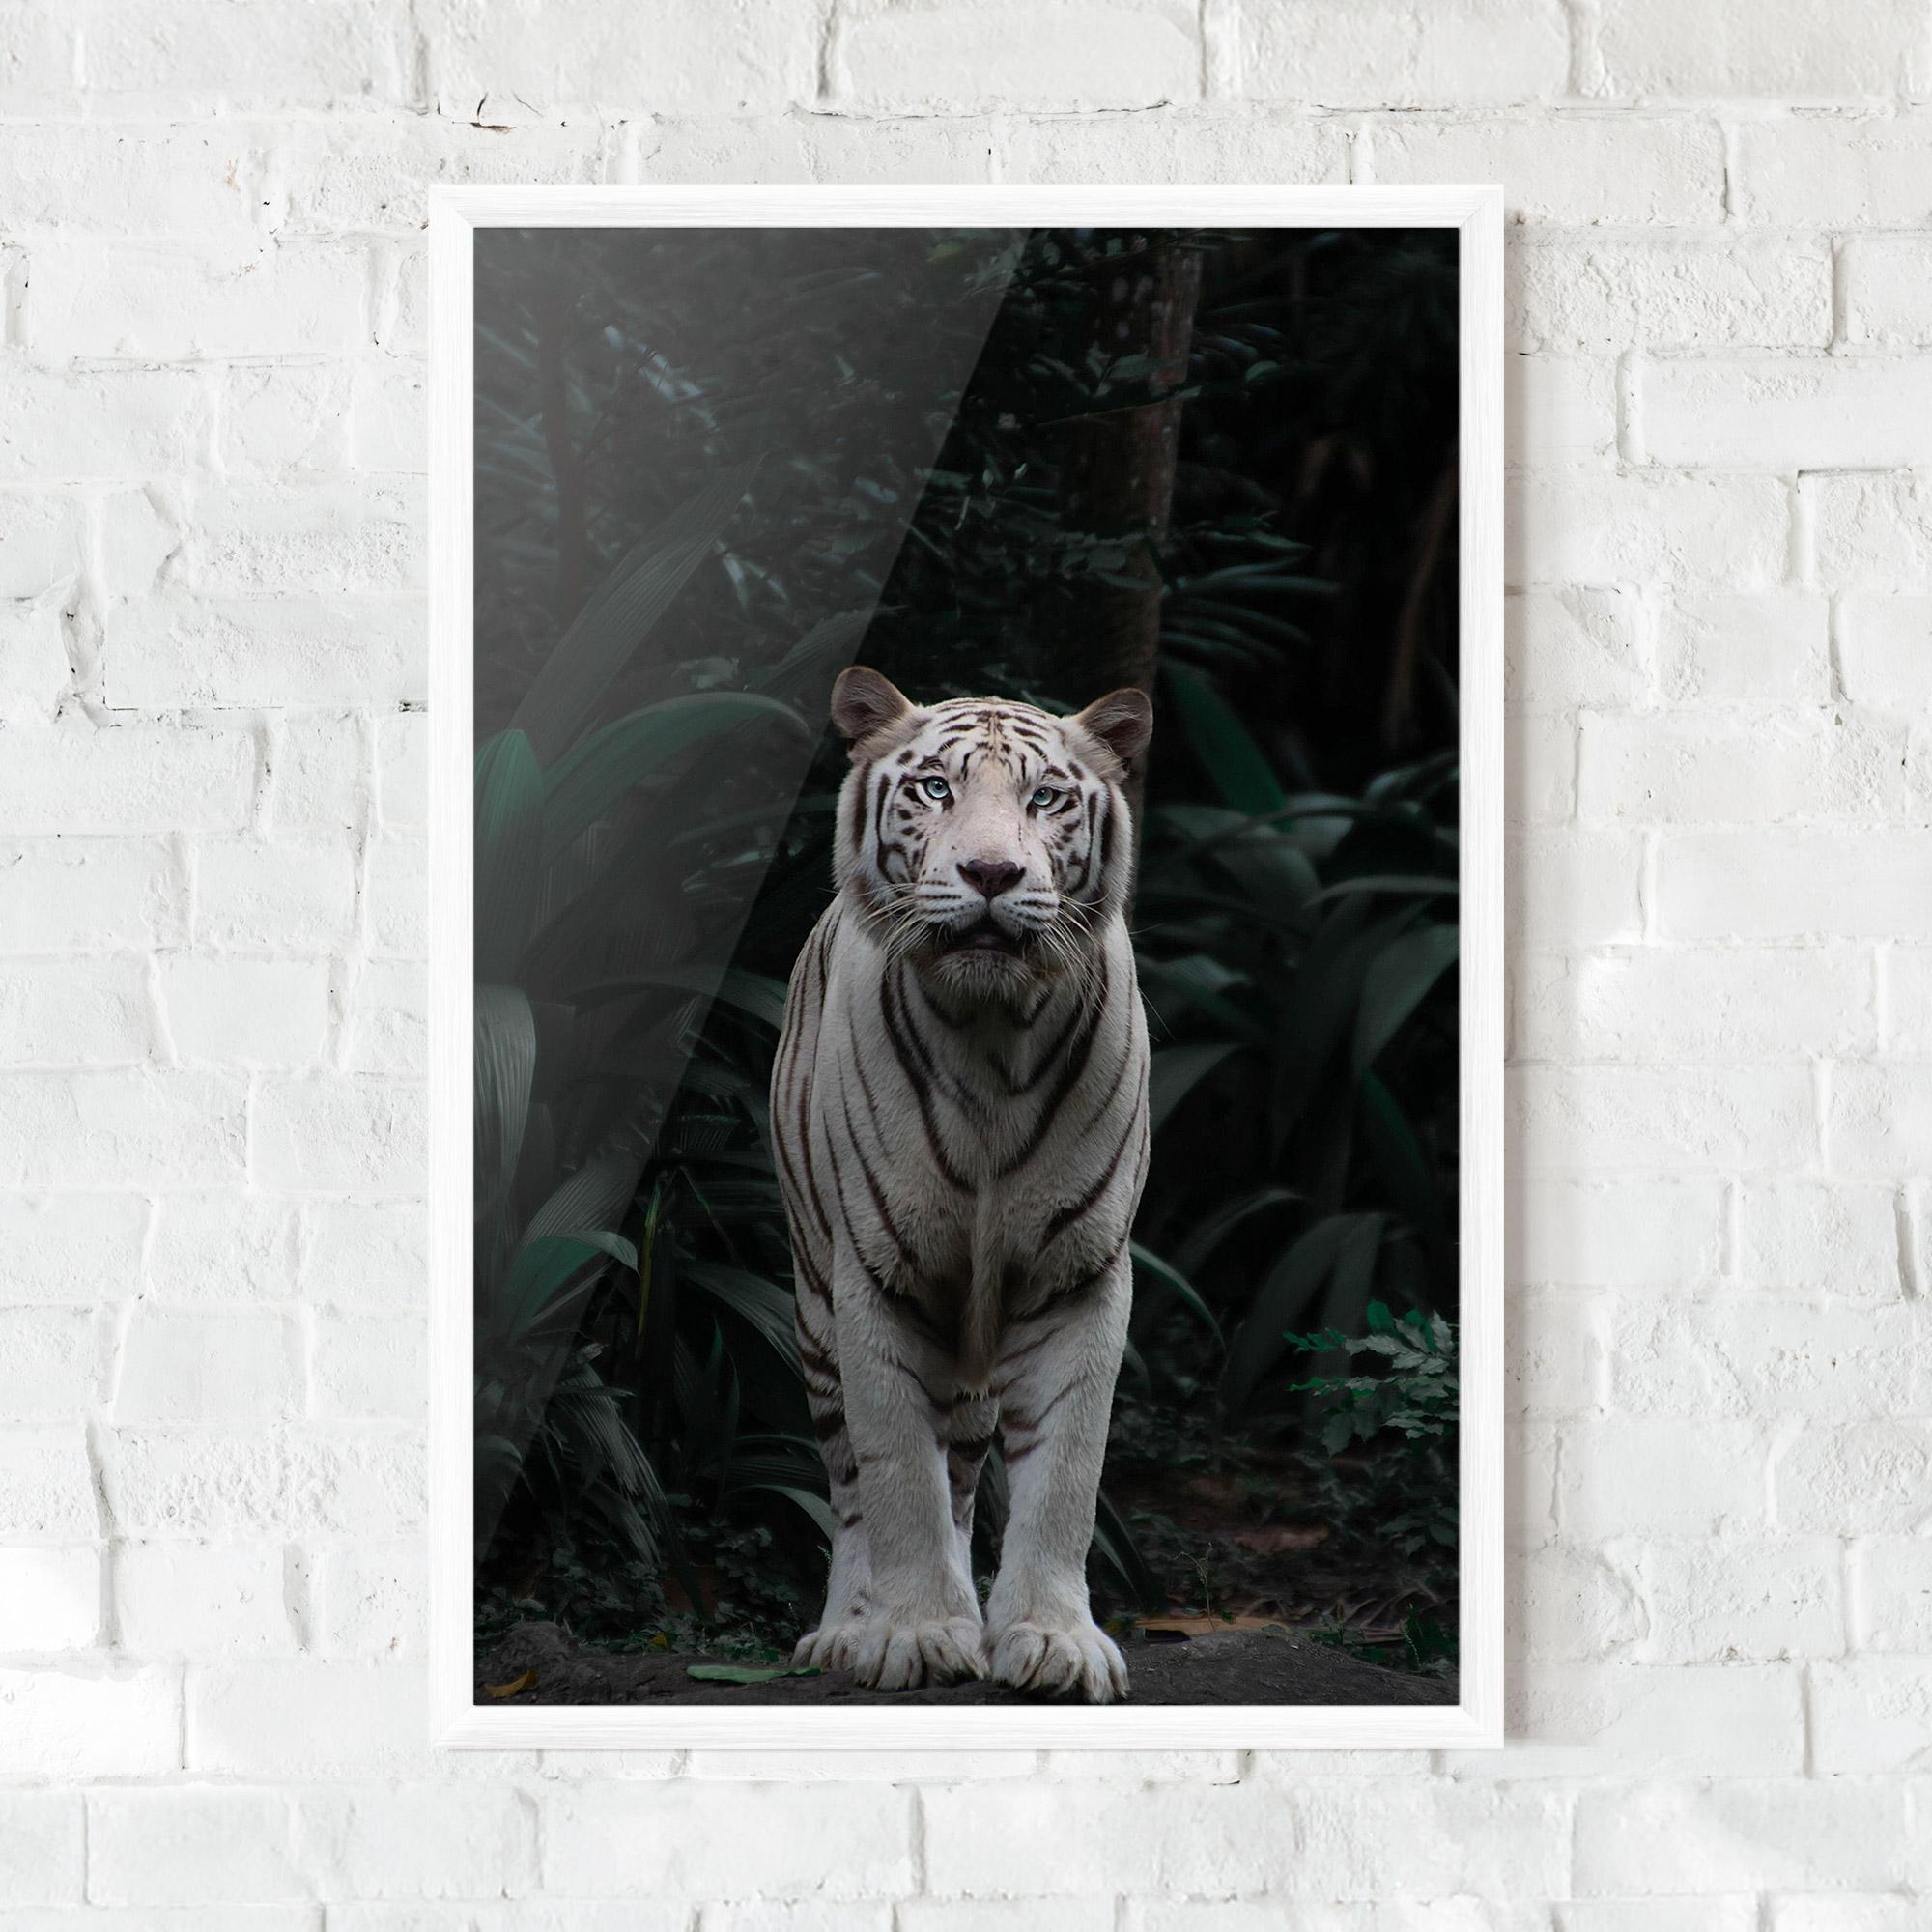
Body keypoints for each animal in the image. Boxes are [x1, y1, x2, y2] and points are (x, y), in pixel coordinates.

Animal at [769, 664, 1153, 1704]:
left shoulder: (1078, 1275)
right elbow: (897, 1471)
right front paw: (913, 1632)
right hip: (813, 1310)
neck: (990, 1036)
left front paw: (1052, 1638)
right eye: (935, 789)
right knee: (852, 1484)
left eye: (1045, 797)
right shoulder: (875, 1275)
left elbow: (1066, 1470)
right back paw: (845, 1629)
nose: (990, 874)